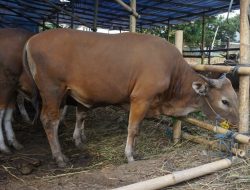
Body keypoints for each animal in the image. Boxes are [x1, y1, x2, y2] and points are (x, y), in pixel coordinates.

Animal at [24, 28, 239, 166]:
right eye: (224, 101)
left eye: (236, 97)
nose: (238, 124)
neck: (172, 71)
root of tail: (32, 40)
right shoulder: (140, 99)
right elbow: (133, 128)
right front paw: (129, 155)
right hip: (53, 91)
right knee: (49, 121)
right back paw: (59, 157)